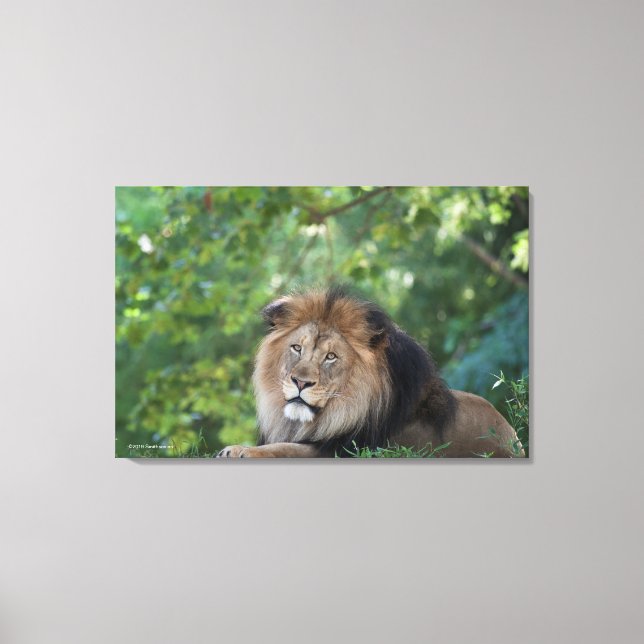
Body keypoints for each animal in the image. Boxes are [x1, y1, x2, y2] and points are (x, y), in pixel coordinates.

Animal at [217, 287, 525, 458]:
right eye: (296, 348)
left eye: (331, 357)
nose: (300, 382)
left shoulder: (348, 450)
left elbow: (287, 449)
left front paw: (238, 450)